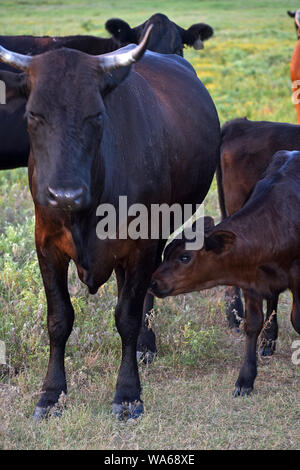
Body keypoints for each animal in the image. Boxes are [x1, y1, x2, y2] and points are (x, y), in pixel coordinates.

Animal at [0, 25, 220, 418]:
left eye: (97, 115)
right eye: (33, 115)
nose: (65, 195)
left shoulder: (142, 244)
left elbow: (127, 317)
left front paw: (128, 393)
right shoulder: (45, 244)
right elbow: (59, 319)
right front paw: (51, 394)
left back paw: (146, 345)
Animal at [151, 150, 300, 396]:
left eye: (184, 257)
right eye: (166, 253)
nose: (153, 282)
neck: (275, 225)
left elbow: (296, 319)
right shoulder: (252, 281)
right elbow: (252, 324)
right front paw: (245, 379)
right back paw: (268, 341)